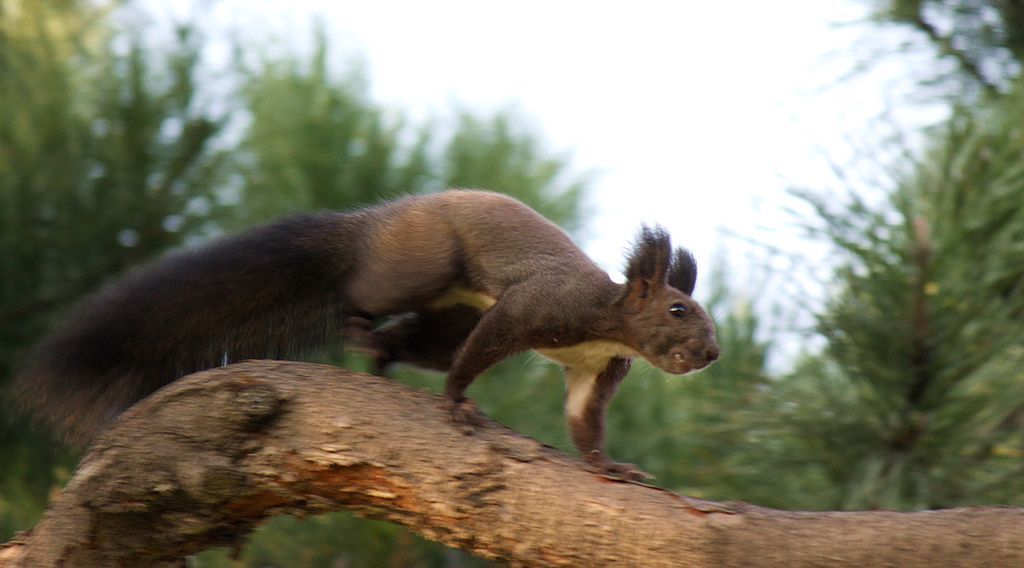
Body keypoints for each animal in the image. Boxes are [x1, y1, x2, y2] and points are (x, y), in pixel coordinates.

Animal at [12, 190, 716, 481]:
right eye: (679, 310)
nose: (711, 354)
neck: (607, 316)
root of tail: (372, 226)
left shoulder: (594, 369)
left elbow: (583, 421)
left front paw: (608, 465)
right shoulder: (534, 307)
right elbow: (483, 352)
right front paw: (458, 403)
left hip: (445, 313)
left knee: (412, 340)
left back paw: (379, 358)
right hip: (418, 265)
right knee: (360, 297)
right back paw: (360, 332)